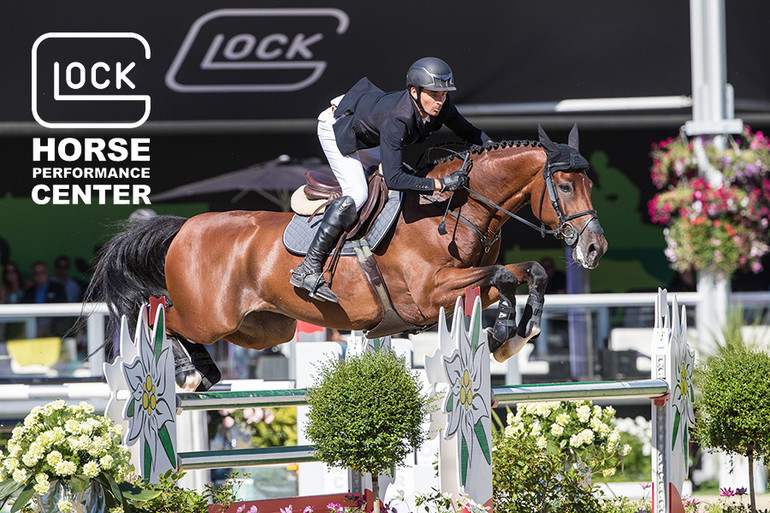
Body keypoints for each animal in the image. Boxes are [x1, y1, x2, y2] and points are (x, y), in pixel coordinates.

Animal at [88, 124, 608, 388]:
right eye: (565, 186)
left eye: (588, 183)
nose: (594, 247)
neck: (455, 208)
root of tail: (186, 226)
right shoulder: (430, 292)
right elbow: (502, 274)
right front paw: (506, 330)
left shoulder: (460, 286)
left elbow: (526, 272)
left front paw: (515, 332)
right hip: (210, 316)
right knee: (161, 313)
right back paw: (185, 373)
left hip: (261, 328)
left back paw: (205, 371)